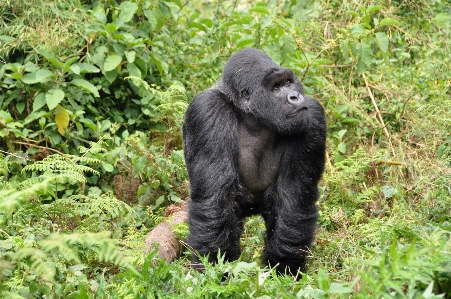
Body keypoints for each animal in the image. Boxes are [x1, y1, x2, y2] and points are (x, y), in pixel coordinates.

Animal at [182, 48, 326, 276]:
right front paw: (215, 271)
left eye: (288, 82)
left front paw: (283, 269)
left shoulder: (312, 114)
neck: (254, 118)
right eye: (276, 87)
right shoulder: (207, 110)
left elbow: (293, 201)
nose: (295, 96)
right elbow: (216, 200)